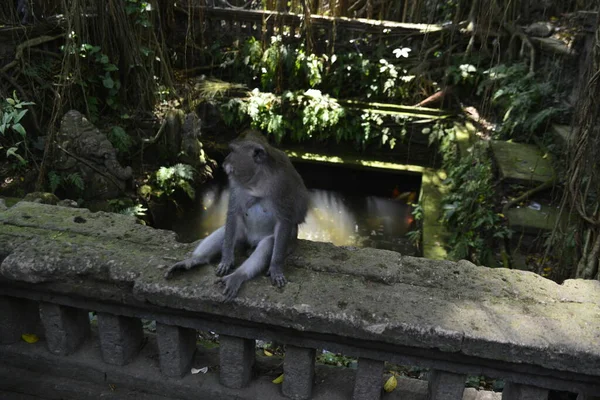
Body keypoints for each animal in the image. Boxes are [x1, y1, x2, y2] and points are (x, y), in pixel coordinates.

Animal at [166, 130, 312, 302]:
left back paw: (238, 275)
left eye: (233, 151)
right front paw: (226, 259)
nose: (225, 161)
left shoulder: (283, 187)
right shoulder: (236, 183)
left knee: (268, 243)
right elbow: (233, 213)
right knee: (227, 231)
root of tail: (251, 242)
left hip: (281, 242)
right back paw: (195, 260)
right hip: (243, 235)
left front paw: (276, 268)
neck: (257, 181)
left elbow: (284, 221)